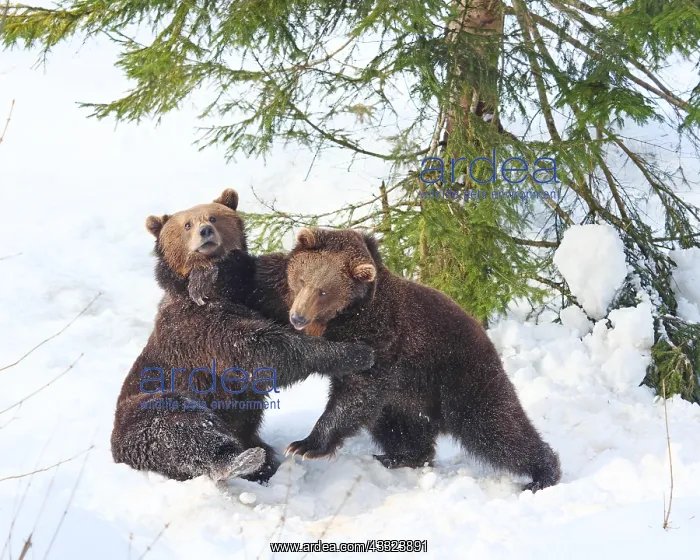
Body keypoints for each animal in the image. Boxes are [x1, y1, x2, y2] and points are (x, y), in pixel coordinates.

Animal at [110, 191, 374, 483]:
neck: (220, 295)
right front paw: (354, 352)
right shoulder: (195, 327)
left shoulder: (260, 296)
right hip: (144, 407)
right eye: (187, 224)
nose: (205, 231)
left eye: (214, 217)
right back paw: (240, 460)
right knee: (173, 421)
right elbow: (258, 351)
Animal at [280, 227, 561, 492]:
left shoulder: (382, 341)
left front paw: (304, 445)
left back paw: (543, 474)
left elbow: (354, 397)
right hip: (409, 395)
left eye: (324, 291)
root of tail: (486, 340)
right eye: (302, 279)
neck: (349, 318)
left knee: (496, 428)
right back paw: (399, 456)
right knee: (400, 425)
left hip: (462, 378)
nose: (297, 317)